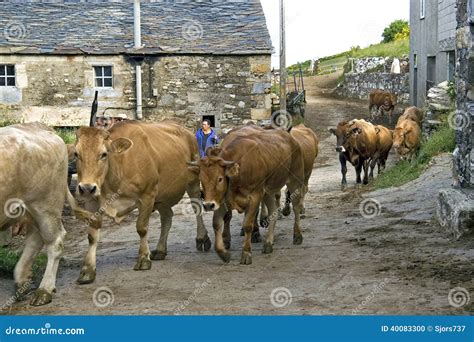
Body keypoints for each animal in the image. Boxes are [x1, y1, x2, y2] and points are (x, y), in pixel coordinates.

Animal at [72, 120, 209, 284]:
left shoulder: (147, 195)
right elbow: (92, 236)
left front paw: (143, 259)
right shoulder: (91, 202)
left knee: (197, 208)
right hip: (161, 195)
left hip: (193, 180)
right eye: (76, 154)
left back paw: (202, 238)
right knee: (167, 216)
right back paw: (161, 249)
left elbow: (142, 228)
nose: (86, 188)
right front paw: (87, 270)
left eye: (104, 154)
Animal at [188, 128, 304, 264]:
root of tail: (290, 137)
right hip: (268, 192)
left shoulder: (255, 197)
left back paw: (297, 235)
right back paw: (268, 243)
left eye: (220, 179)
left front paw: (246, 253)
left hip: (295, 180)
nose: (208, 205)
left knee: (296, 207)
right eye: (201, 179)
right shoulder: (222, 200)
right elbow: (216, 223)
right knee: (273, 212)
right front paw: (223, 253)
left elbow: (248, 225)